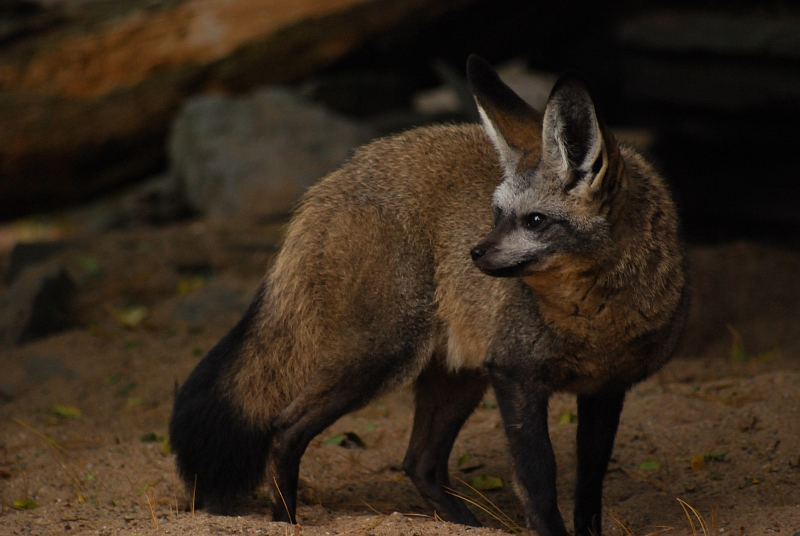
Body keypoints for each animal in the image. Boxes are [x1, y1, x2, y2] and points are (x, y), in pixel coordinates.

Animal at [169, 55, 688, 536]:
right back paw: (286, 521)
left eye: (535, 221)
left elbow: (589, 491)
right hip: (379, 359)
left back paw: (466, 525)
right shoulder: (516, 377)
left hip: (455, 380)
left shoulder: (606, 390)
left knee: (418, 463)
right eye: (496, 214)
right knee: (284, 430)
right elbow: (539, 483)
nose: (473, 254)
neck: (593, 321)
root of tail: (330, 183)